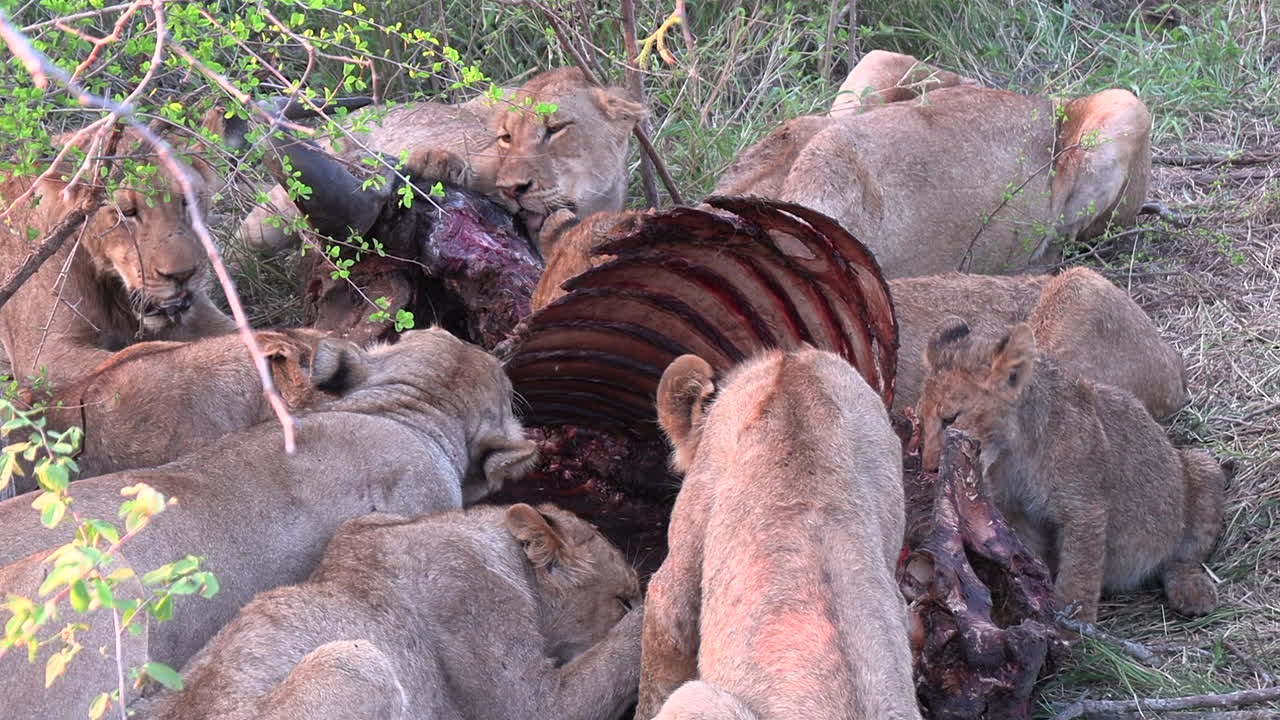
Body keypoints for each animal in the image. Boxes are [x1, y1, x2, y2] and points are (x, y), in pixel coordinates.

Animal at [0, 125, 236, 389]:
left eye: (188, 201)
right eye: (127, 212)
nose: (183, 275)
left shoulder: (204, 315)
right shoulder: (44, 355)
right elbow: (137, 356)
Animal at [918, 318, 1225, 623]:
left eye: (950, 419)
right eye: (923, 420)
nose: (929, 468)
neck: (1013, 454)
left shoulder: (1084, 508)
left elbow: (1079, 574)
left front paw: (1073, 624)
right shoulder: (1016, 512)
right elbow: (1030, 558)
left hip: (1202, 466)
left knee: (1182, 556)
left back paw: (1192, 591)